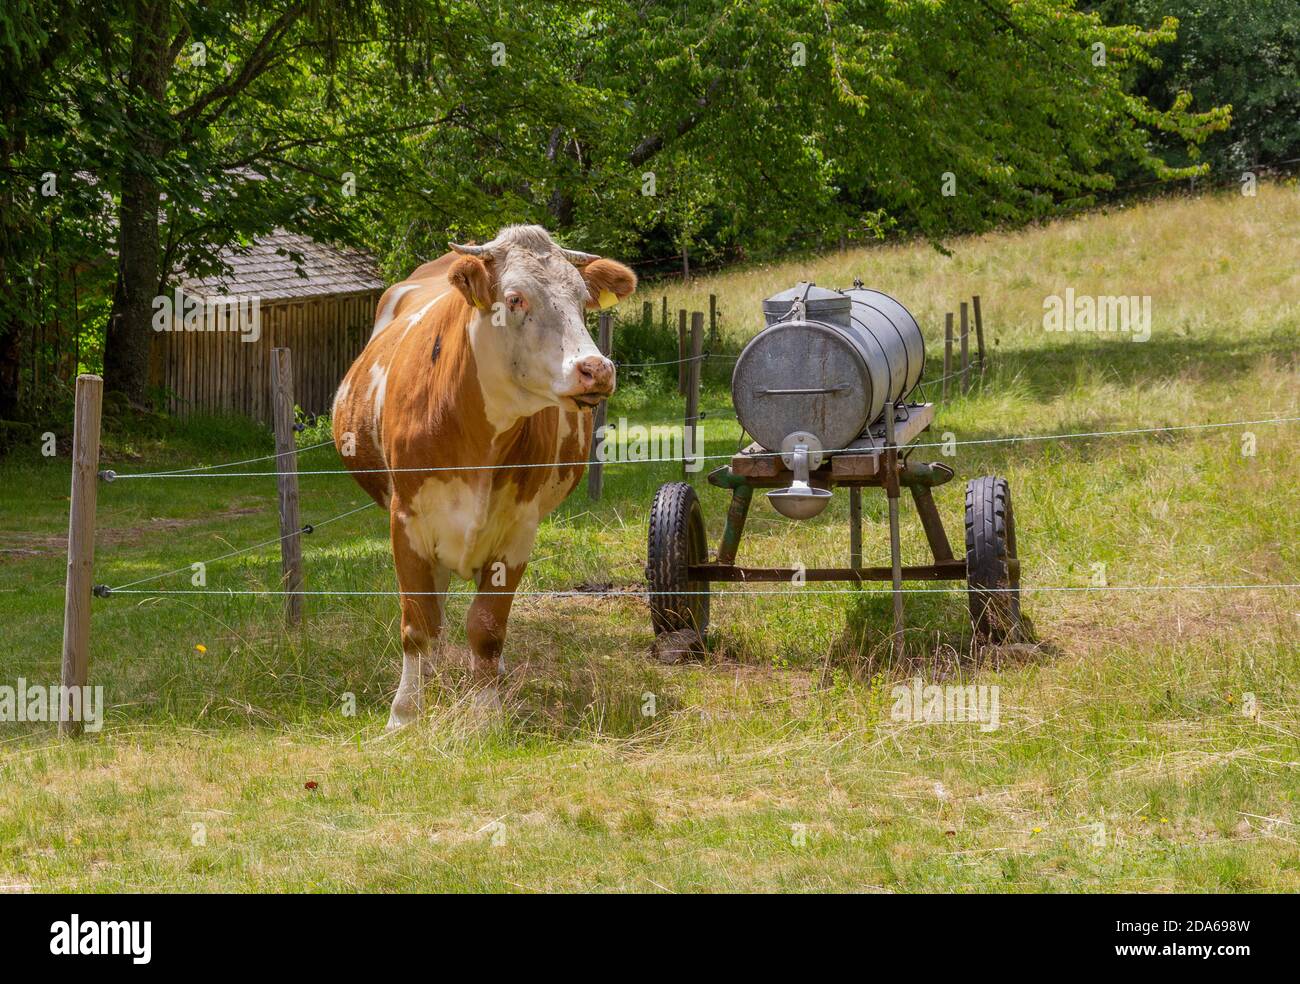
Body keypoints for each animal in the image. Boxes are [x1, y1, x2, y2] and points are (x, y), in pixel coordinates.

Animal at [332, 226, 637, 727]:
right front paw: (406, 712)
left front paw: (487, 712)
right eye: (514, 298)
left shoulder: (517, 531)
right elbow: (417, 622)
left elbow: (488, 627)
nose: (596, 369)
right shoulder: (406, 520)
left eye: (581, 300)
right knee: (432, 608)